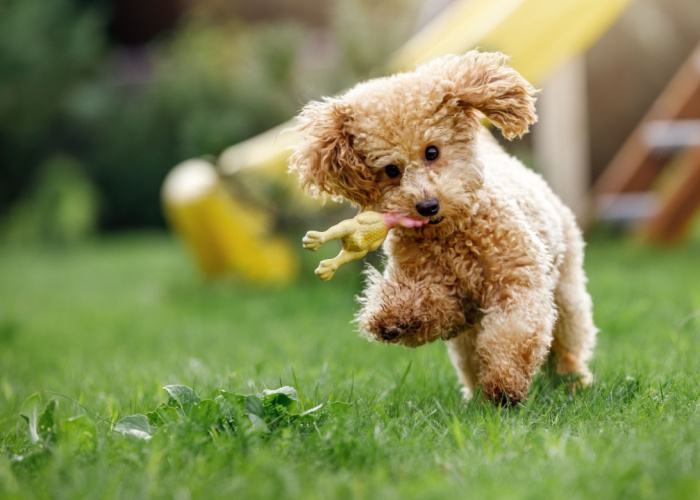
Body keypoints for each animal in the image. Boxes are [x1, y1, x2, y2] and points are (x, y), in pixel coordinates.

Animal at [288, 50, 600, 404]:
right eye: (391, 170)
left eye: (432, 151)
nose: (427, 206)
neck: (451, 237)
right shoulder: (443, 294)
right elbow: (432, 306)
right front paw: (393, 319)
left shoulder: (517, 282)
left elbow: (513, 331)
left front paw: (505, 384)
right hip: (470, 336)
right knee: (471, 356)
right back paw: (476, 394)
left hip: (566, 289)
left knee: (567, 339)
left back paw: (572, 380)